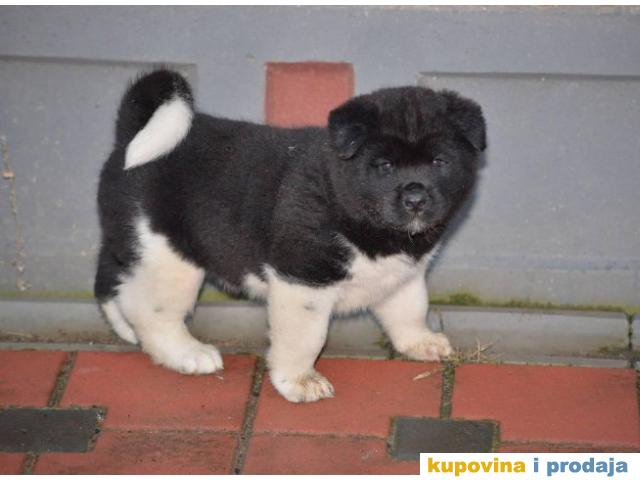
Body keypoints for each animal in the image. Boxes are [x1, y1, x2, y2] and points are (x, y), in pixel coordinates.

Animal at [94, 69, 486, 402]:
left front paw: (420, 343)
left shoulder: (403, 275)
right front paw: (299, 381)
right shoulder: (304, 282)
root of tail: (128, 135)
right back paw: (187, 354)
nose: (416, 198)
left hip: (136, 245)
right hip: (171, 259)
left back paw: (126, 329)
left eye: (439, 162)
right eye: (384, 166)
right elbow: (306, 338)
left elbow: (411, 310)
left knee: (113, 282)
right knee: (151, 311)